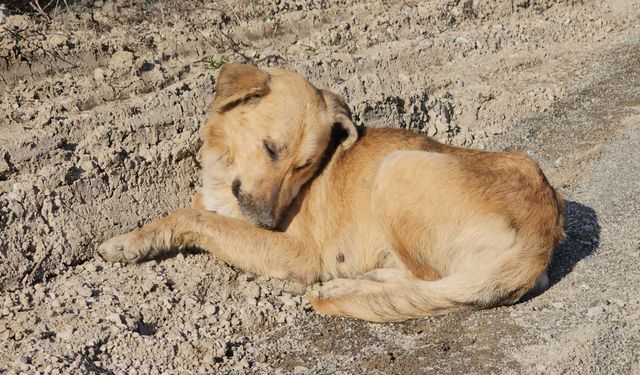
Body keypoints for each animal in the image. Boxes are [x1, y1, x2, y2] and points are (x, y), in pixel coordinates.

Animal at [96, 64, 564, 324]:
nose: (267, 223)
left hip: (398, 167)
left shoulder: (296, 253)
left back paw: (345, 288)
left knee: (430, 281)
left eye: (305, 165)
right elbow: (196, 212)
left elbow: (193, 217)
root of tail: (544, 224)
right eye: (271, 149)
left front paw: (128, 242)